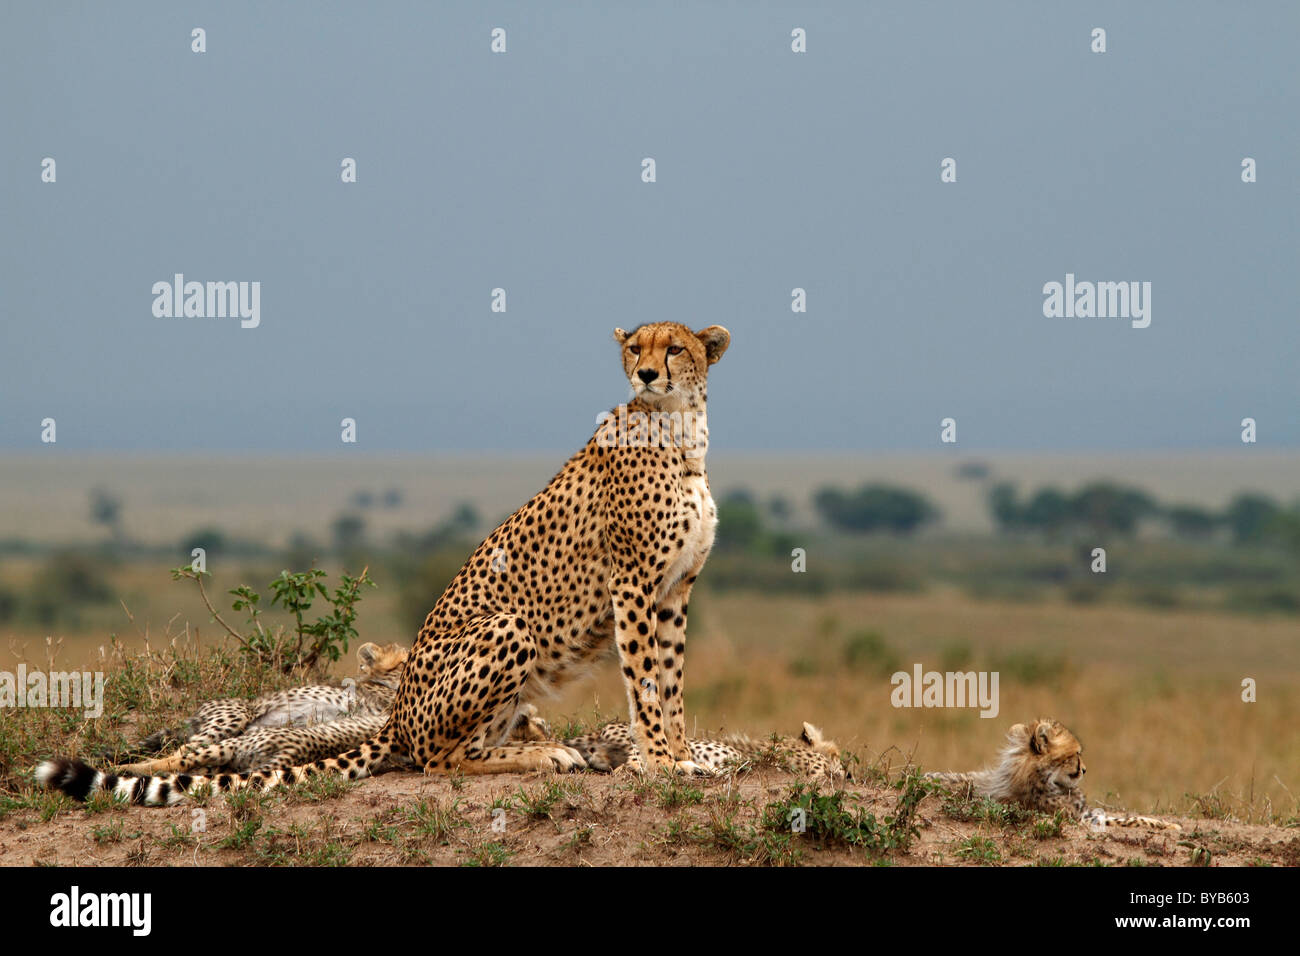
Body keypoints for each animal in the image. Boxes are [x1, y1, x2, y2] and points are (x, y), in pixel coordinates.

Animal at [38, 323, 733, 806]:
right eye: (635, 347)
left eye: (675, 348)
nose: (646, 373)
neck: (680, 434)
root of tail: (395, 715)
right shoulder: (634, 585)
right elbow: (646, 682)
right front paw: (661, 762)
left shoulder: (674, 591)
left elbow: (669, 681)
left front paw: (678, 756)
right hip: (508, 627)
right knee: (439, 760)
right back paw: (549, 758)